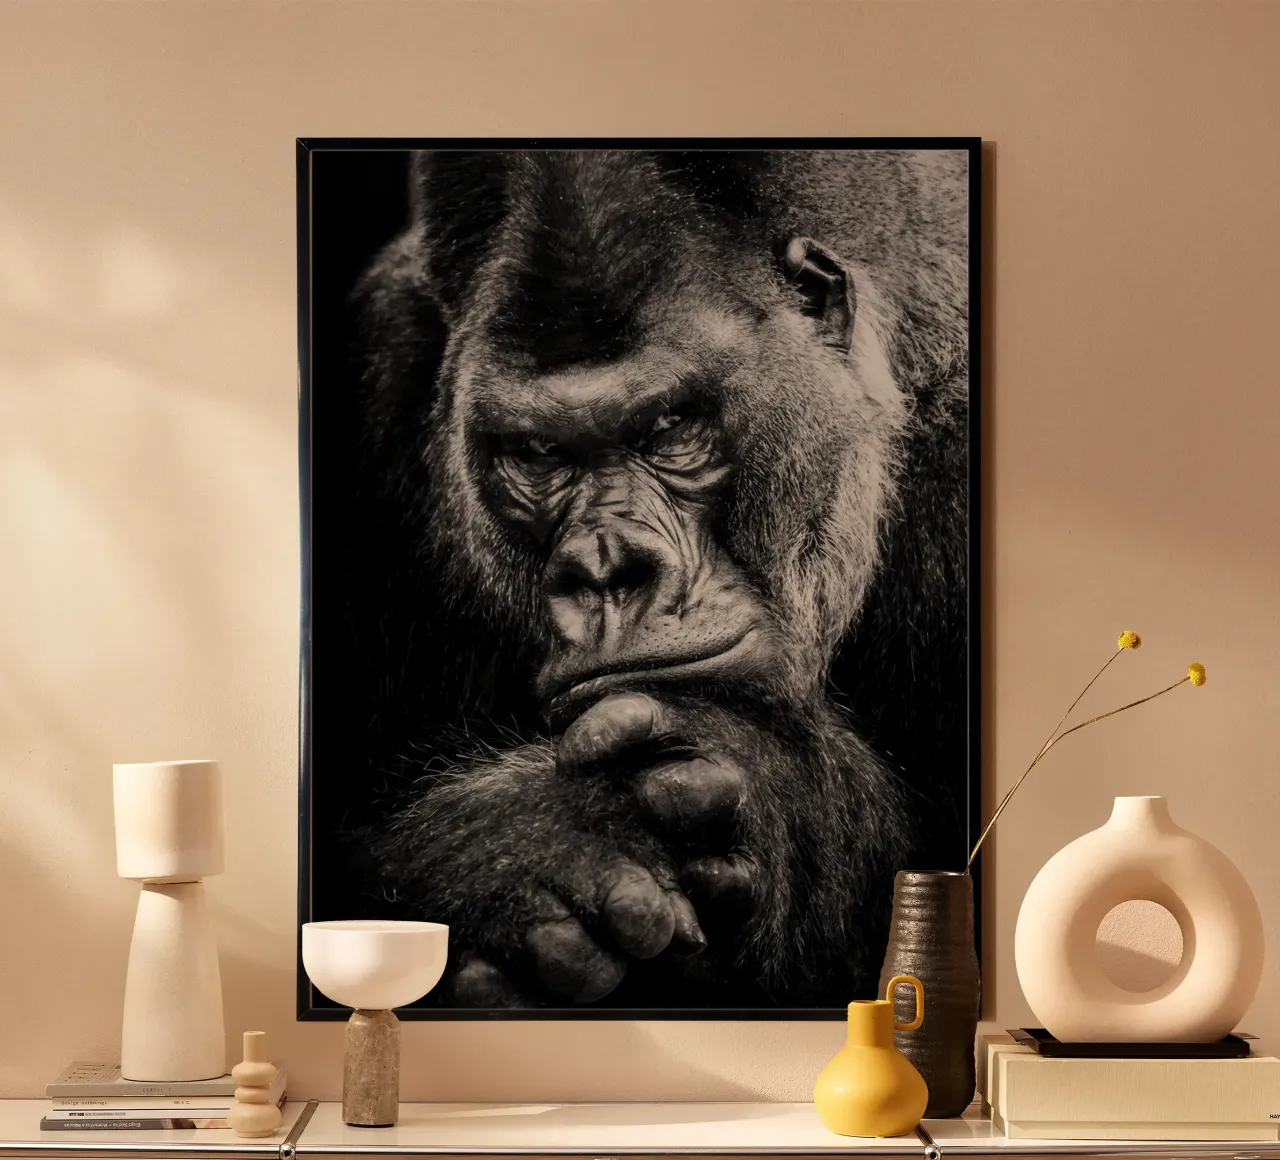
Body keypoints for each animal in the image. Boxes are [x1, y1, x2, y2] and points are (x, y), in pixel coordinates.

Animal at [326, 147, 972, 1009]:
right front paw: (516, 851)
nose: (607, 569)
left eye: (670, 426)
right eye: (538, 452)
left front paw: (770, 792)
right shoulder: (381, 370)